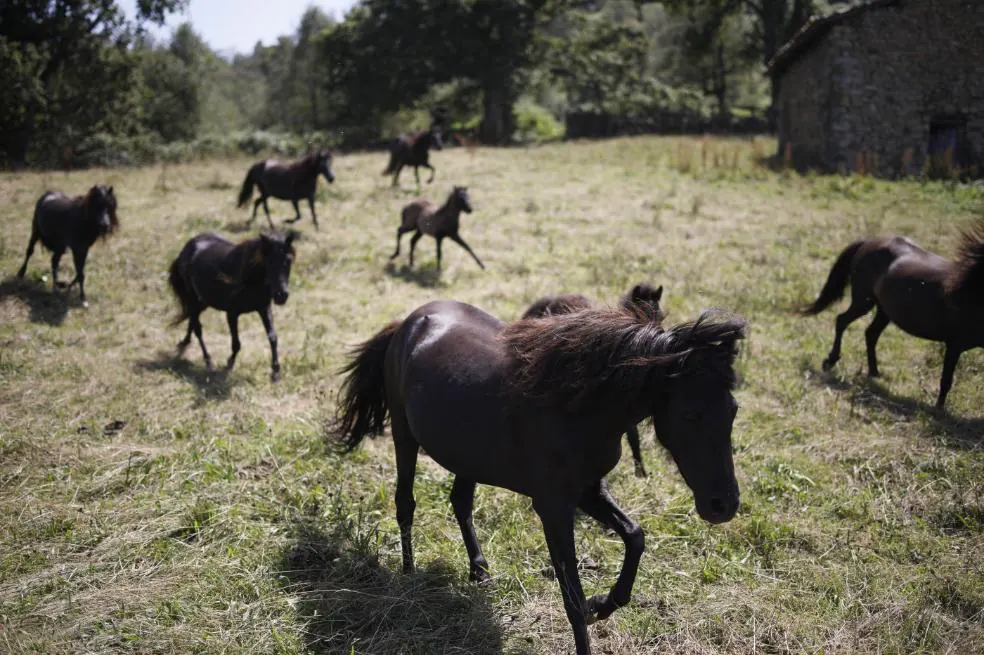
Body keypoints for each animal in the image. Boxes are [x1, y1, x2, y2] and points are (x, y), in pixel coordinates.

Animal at [167, 232, 296, 382]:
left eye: (288, 261)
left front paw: (275, 372)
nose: (282, 296)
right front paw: (229, 364)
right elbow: (236, 343)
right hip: (193, 298)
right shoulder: (232, 313)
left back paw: (184, 343)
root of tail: (187, 248)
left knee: (192, 319)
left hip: (202, 300)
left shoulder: (264, 308)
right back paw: (208, 362)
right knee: (197, 328)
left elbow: (273, 337)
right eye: (269, 262)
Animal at [804, 219, 984, 410]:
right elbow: (946, 380)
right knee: (842, 321)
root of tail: (868, 241)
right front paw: (938, 410)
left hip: (884, 310)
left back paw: (874, 373)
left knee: (870, 333)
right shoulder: (954, 344)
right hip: (864, 301)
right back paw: (830, 361)